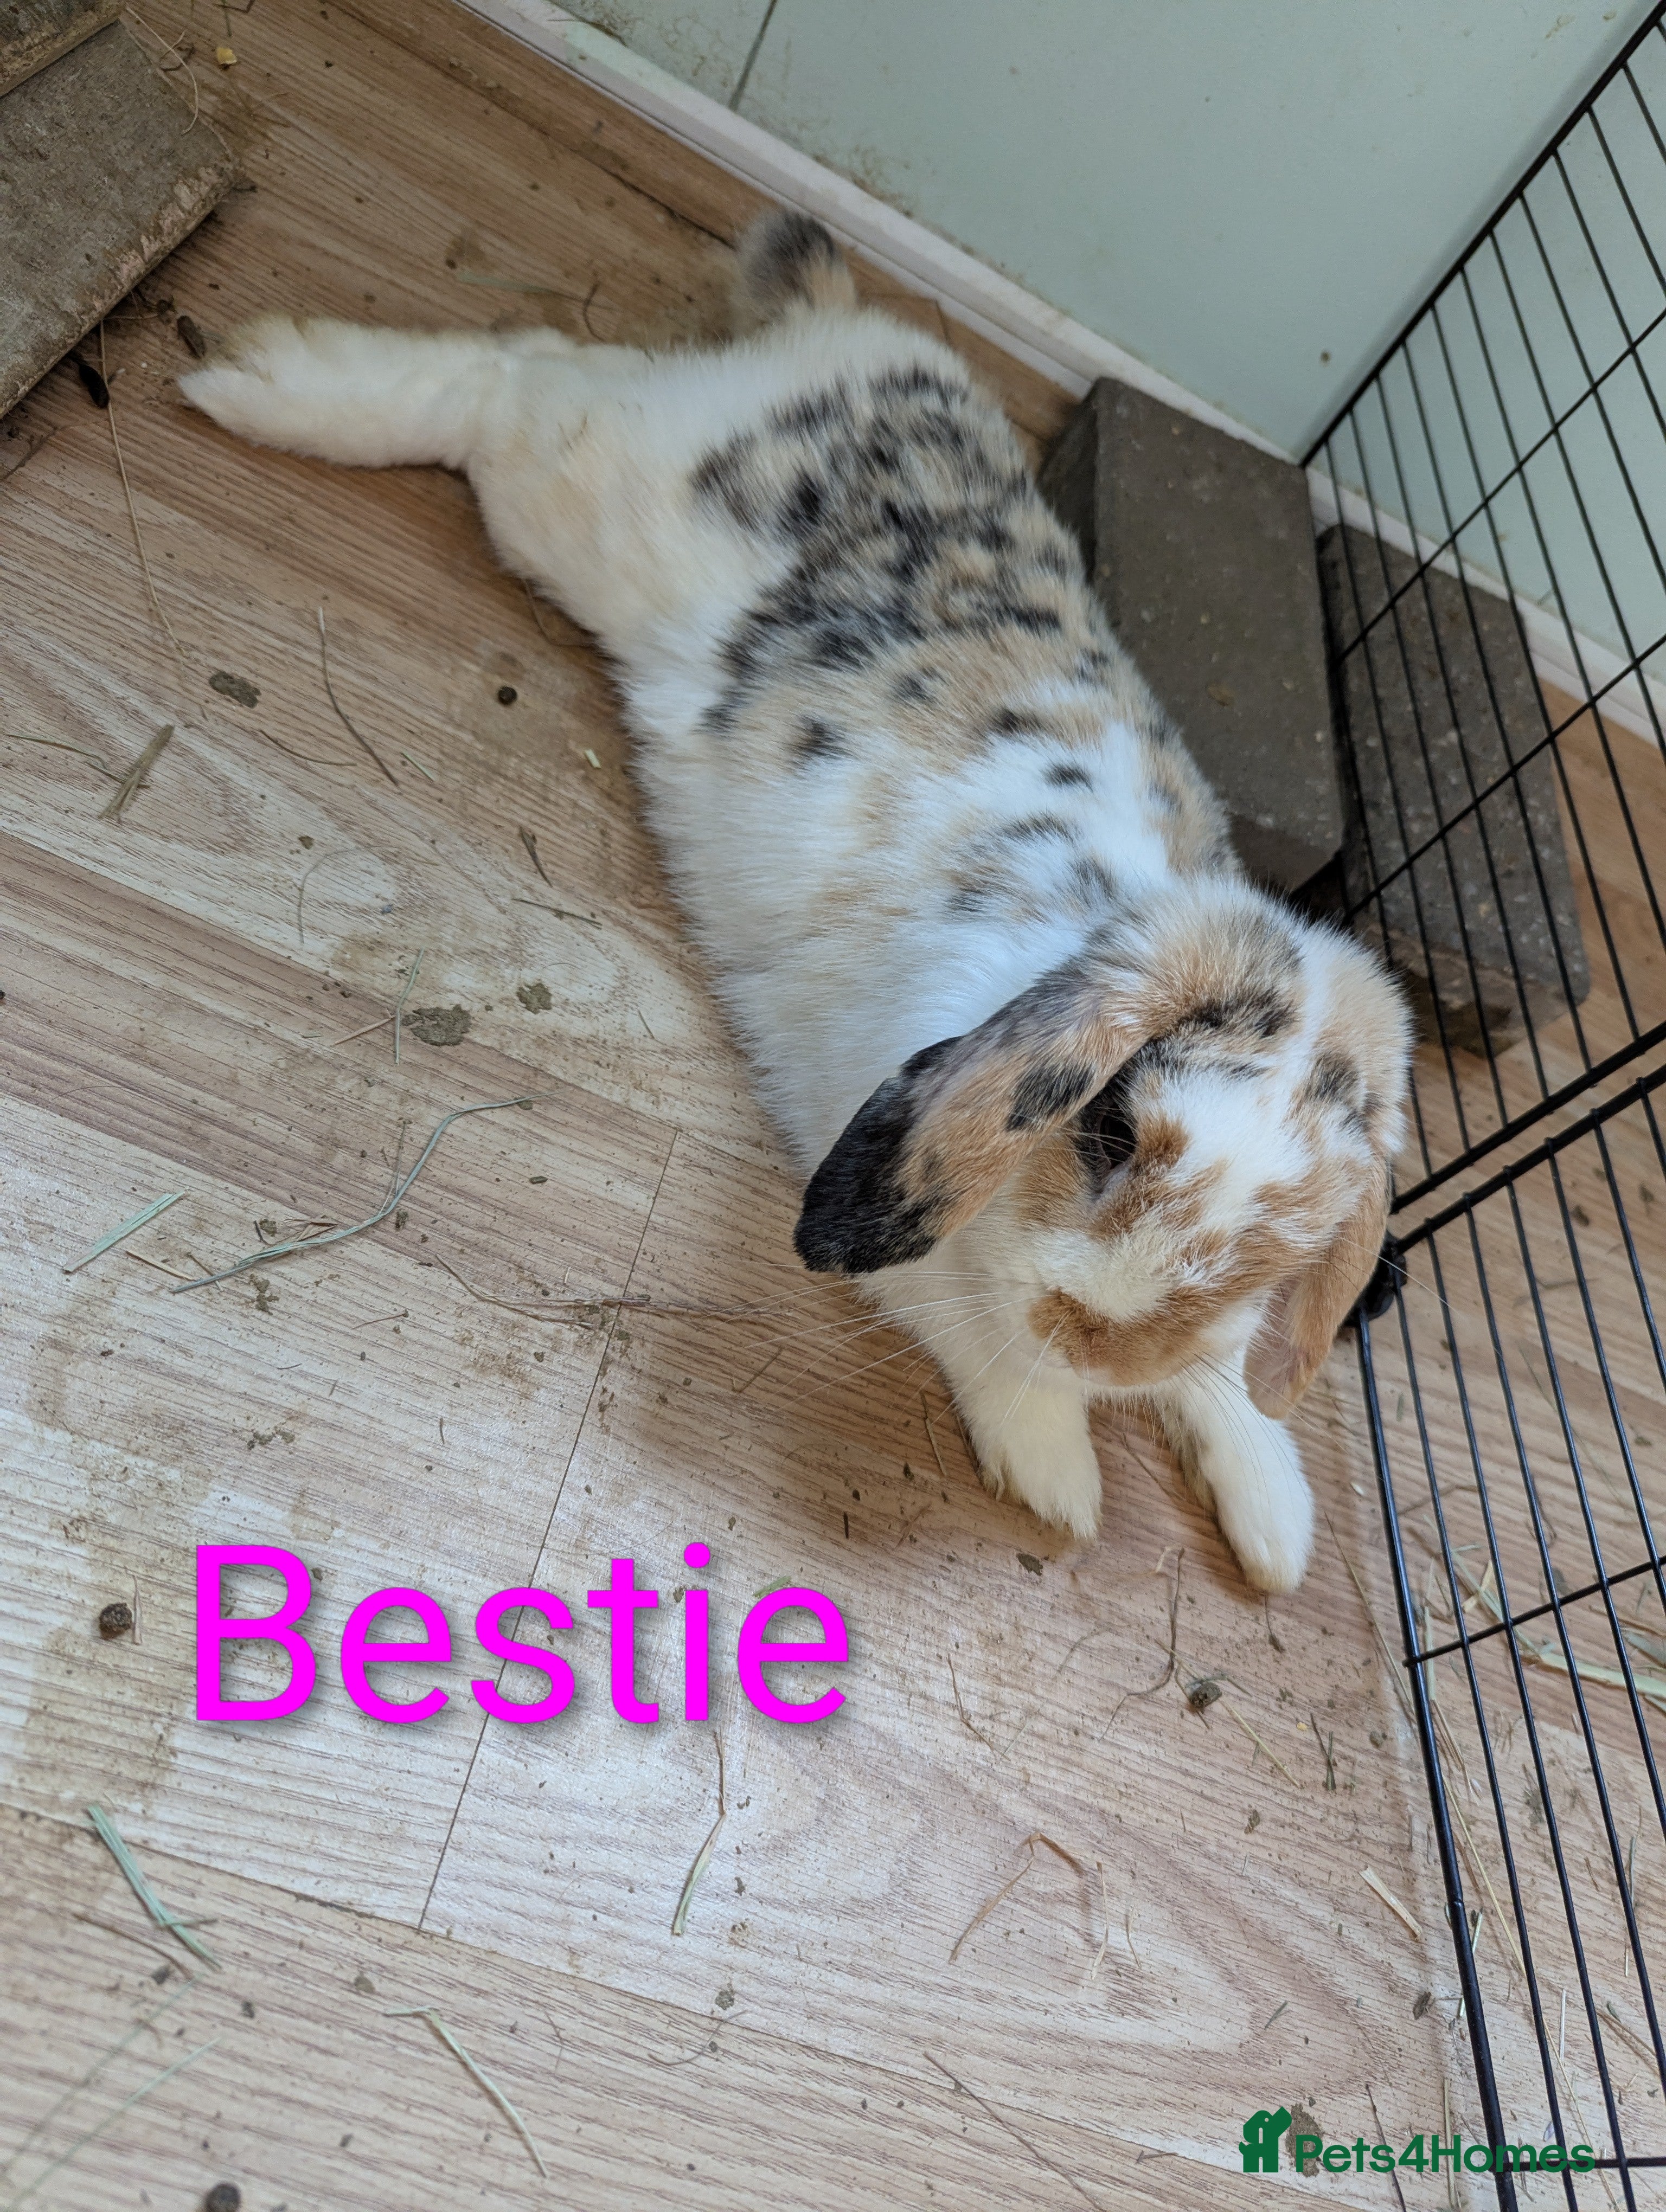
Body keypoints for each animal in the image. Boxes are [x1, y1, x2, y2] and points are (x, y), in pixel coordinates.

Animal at [180, 209, 1410, 1593]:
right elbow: (976, 1336)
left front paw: (1274, 1529)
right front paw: (1057, 1470)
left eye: (1289, 1253)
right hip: (587, 487)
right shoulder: (878, 1168)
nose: (1095, 1331)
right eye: (1105, 1128)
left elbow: (1220, 1388)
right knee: (505, 375)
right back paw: (261, 384)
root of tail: (839, 335)